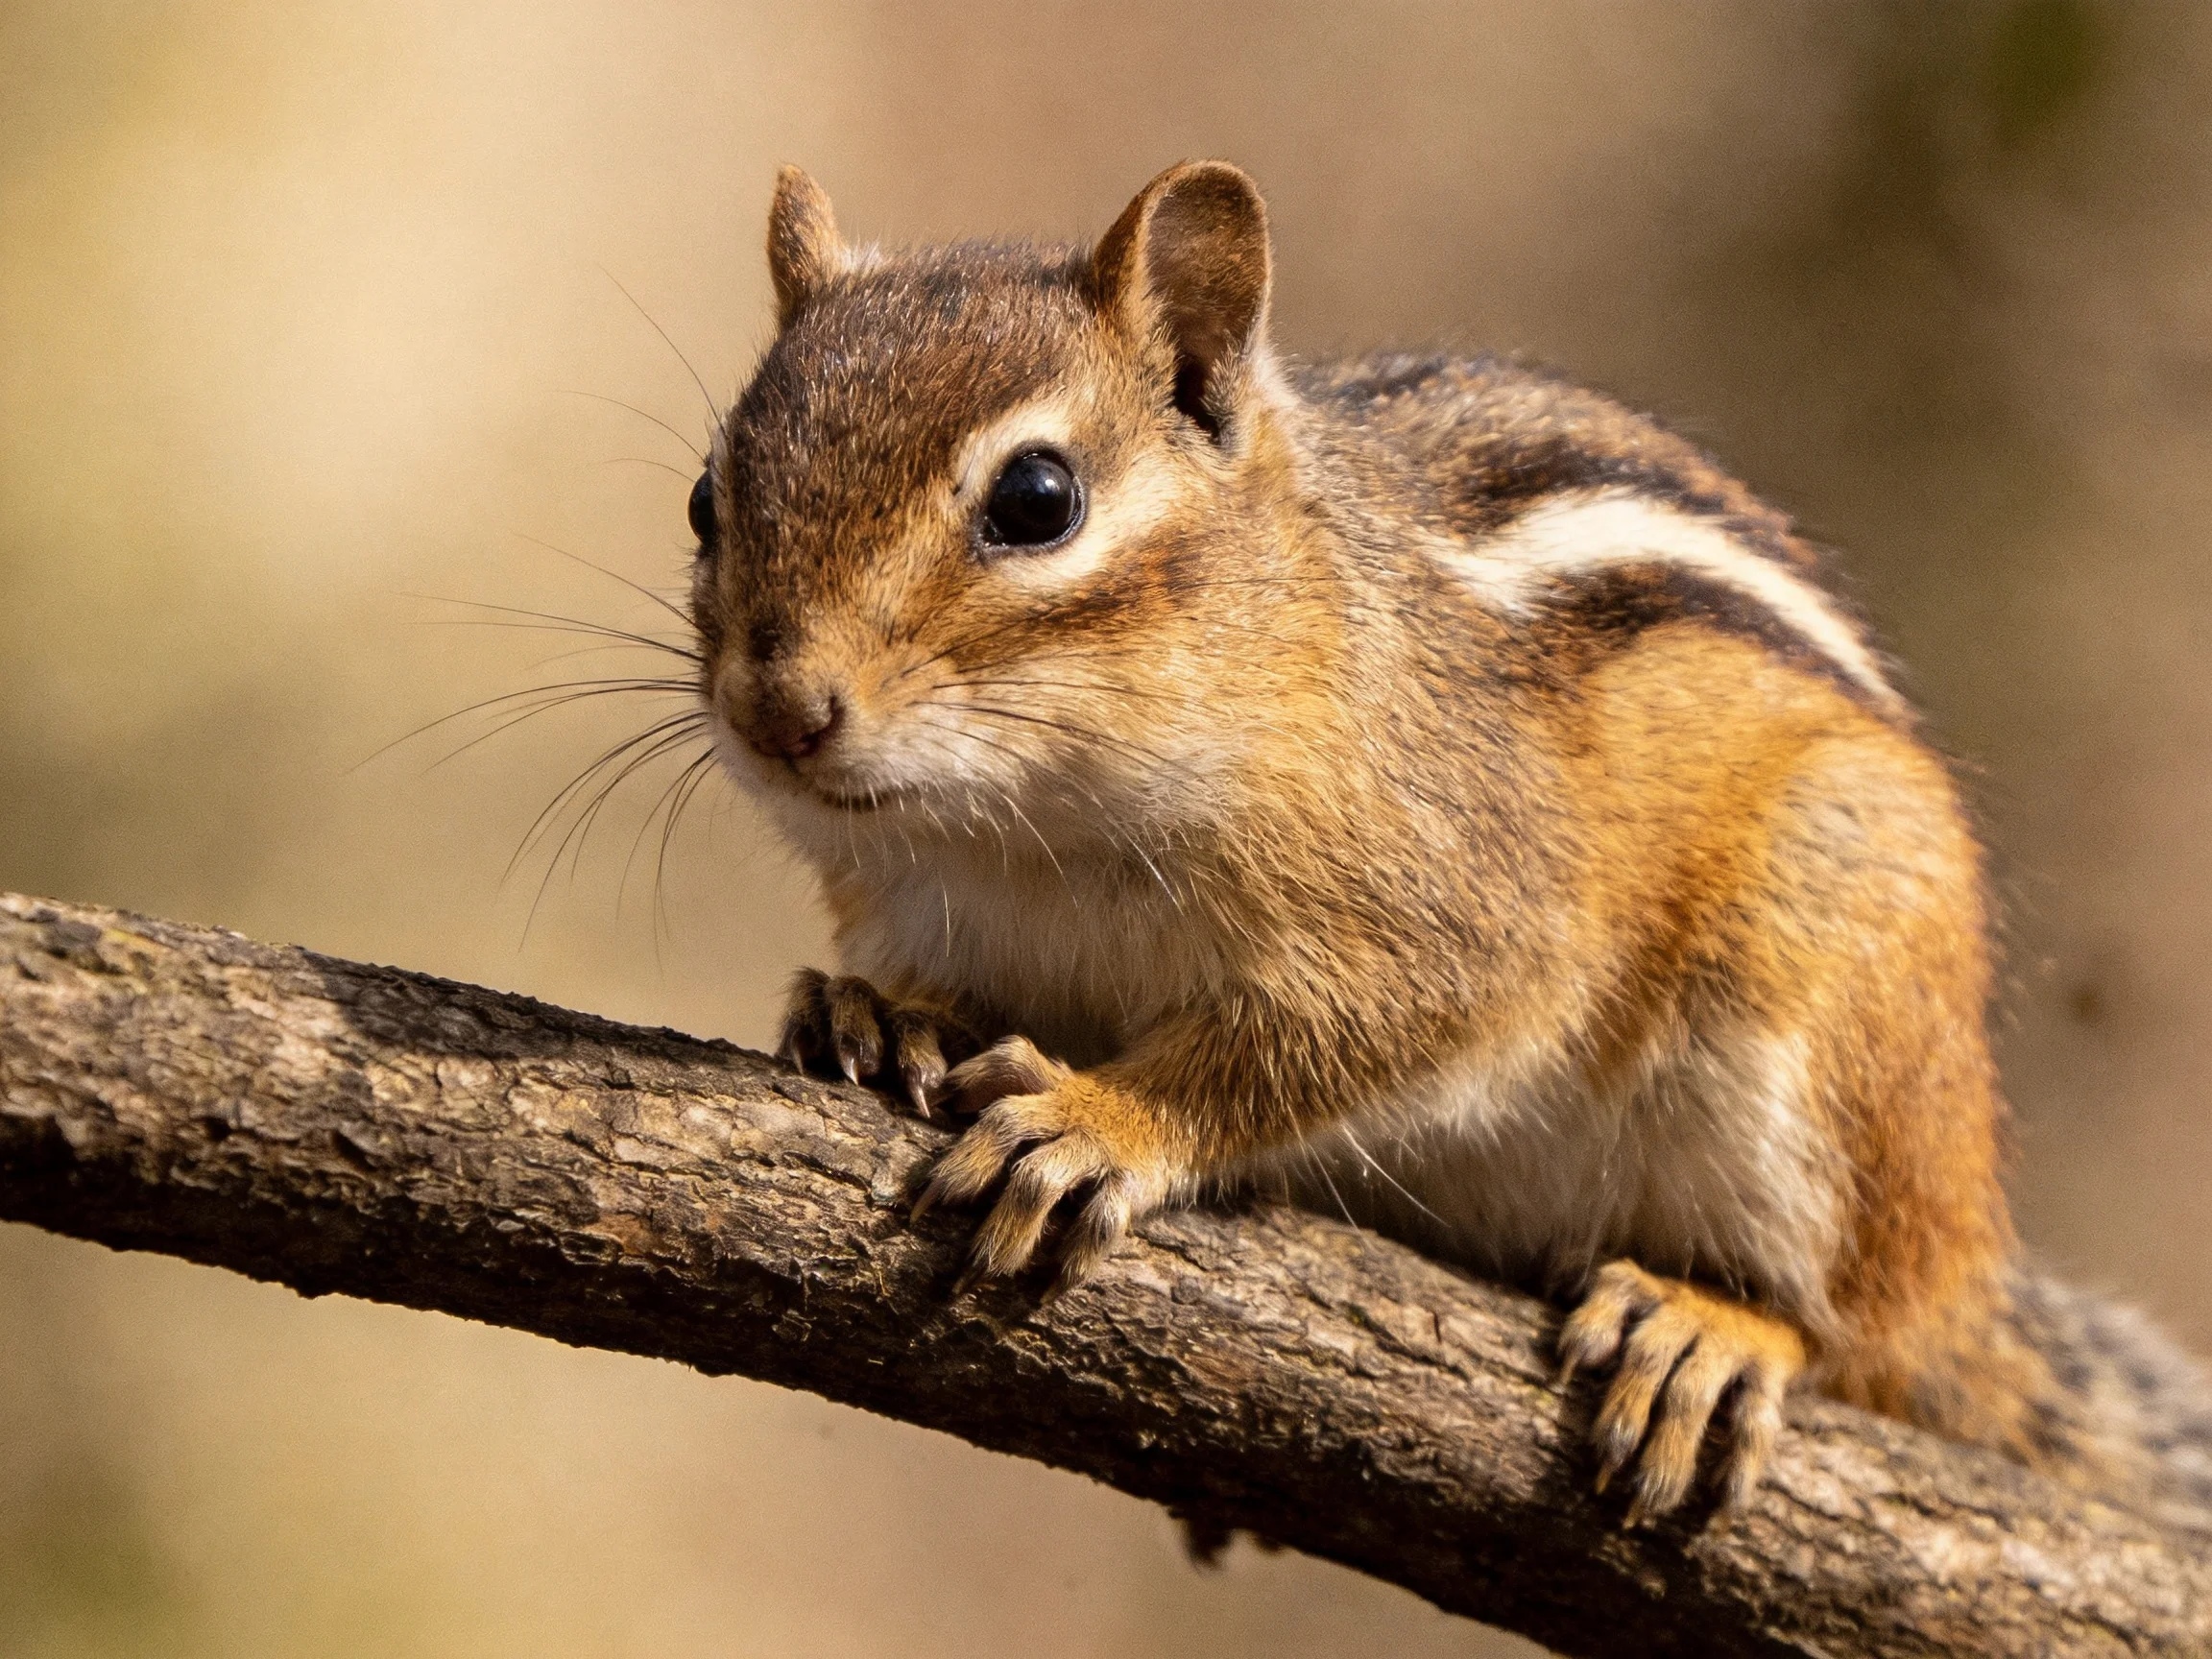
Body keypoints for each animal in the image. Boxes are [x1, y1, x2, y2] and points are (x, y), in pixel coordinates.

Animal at [682, 159, 2212, 1528]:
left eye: (1038, 499)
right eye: (706, 499)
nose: (779, 713)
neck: (1020, 827)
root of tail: (1971, 1280)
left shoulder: (1464, 903)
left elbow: (1332, 1038)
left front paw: (1101, 1122)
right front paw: (874, 1007)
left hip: (1828, 978)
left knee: (1856, 1335)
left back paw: (1717, 1333)